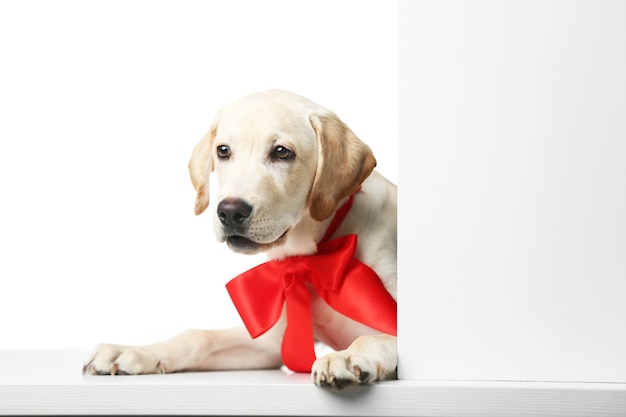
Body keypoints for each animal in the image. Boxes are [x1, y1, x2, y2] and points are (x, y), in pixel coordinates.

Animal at [83, 89, 394, 388]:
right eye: (223, 151)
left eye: (282, 152)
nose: (230, 212)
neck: (313, 255)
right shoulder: (272, 341)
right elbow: (199, 335)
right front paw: (136, 351)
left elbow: (377, 337)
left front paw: (347, 355)